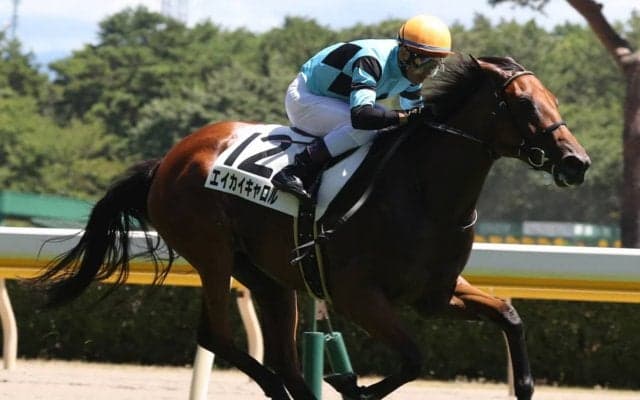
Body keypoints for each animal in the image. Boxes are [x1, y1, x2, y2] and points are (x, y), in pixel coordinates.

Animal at [31, 55, 590, 400]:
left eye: (555, 100)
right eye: (523, 103)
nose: (576, 162)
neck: (422, 194)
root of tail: (167, 159)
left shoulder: (436, 293)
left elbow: (509, 316)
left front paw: (524, 384)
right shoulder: (357, 295)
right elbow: (413, 358)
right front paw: (349, 386)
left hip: (267, 277)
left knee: (282, 355)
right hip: (210, 252)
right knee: (217, 336)